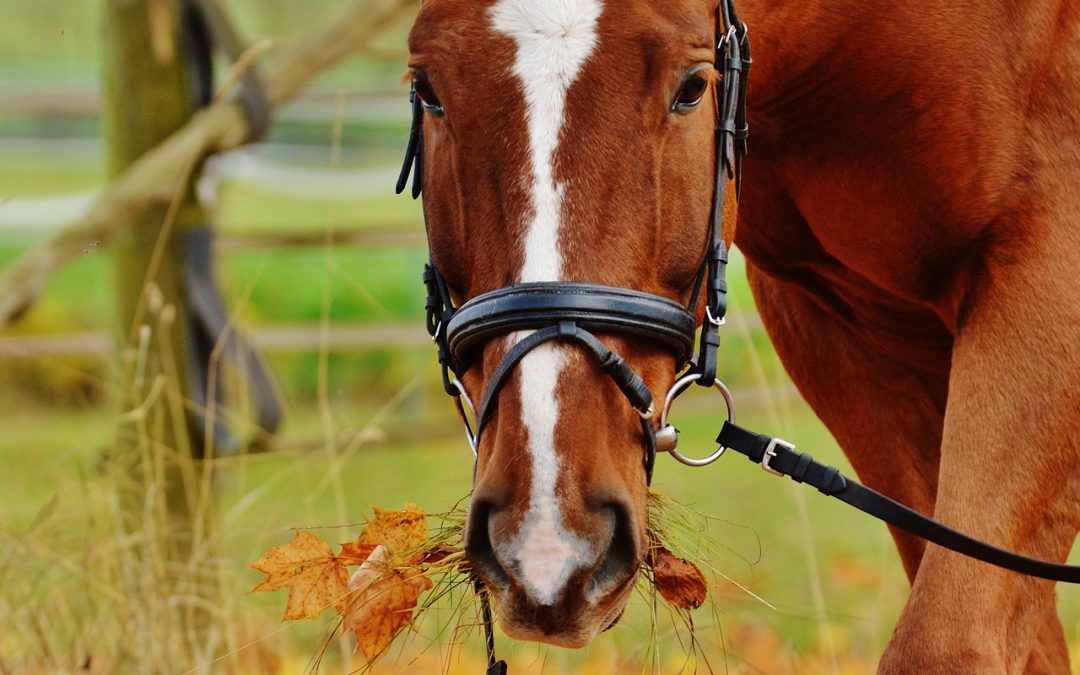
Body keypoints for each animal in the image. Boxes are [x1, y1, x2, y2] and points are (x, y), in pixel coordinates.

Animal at [401, 0, 1080, 671]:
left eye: (693, 88)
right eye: (428, 90)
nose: (548, 543)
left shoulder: (1046, 274)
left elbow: (946, 643)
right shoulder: (835, 326)